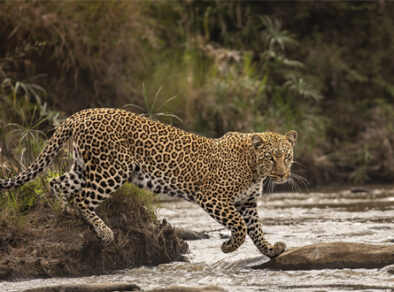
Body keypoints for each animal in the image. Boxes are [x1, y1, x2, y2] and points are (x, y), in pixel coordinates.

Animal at [0, 107, 298, 258]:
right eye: (271, 158)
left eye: (287, 156)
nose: (284, 174)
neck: (254, 168)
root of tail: (82, 113)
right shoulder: (212, 196)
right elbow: (240, 225)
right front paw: (228, 247)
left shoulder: (247, 203)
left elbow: (256, 229)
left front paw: (270, 249)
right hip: (110, 170)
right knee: (82, 199)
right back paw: (104, 231)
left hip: (84, 168)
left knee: (56, 183)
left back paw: (63, 213)